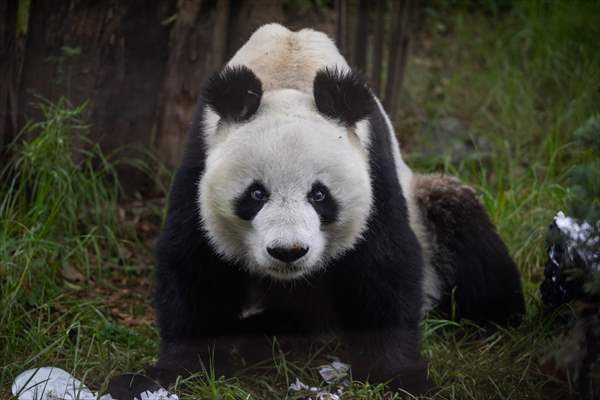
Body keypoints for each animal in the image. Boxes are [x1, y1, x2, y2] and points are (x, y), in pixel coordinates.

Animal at [151, 22, 524, 394]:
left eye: (319, 195)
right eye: (256, 194)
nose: (288, 252)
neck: (288, 68)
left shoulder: (374, 165)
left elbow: (386, 265)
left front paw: (399, 376)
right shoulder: (198, 160)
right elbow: (193, 266)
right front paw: (182, 371)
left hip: (429, 213)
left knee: (467, 234)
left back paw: (495, 318)